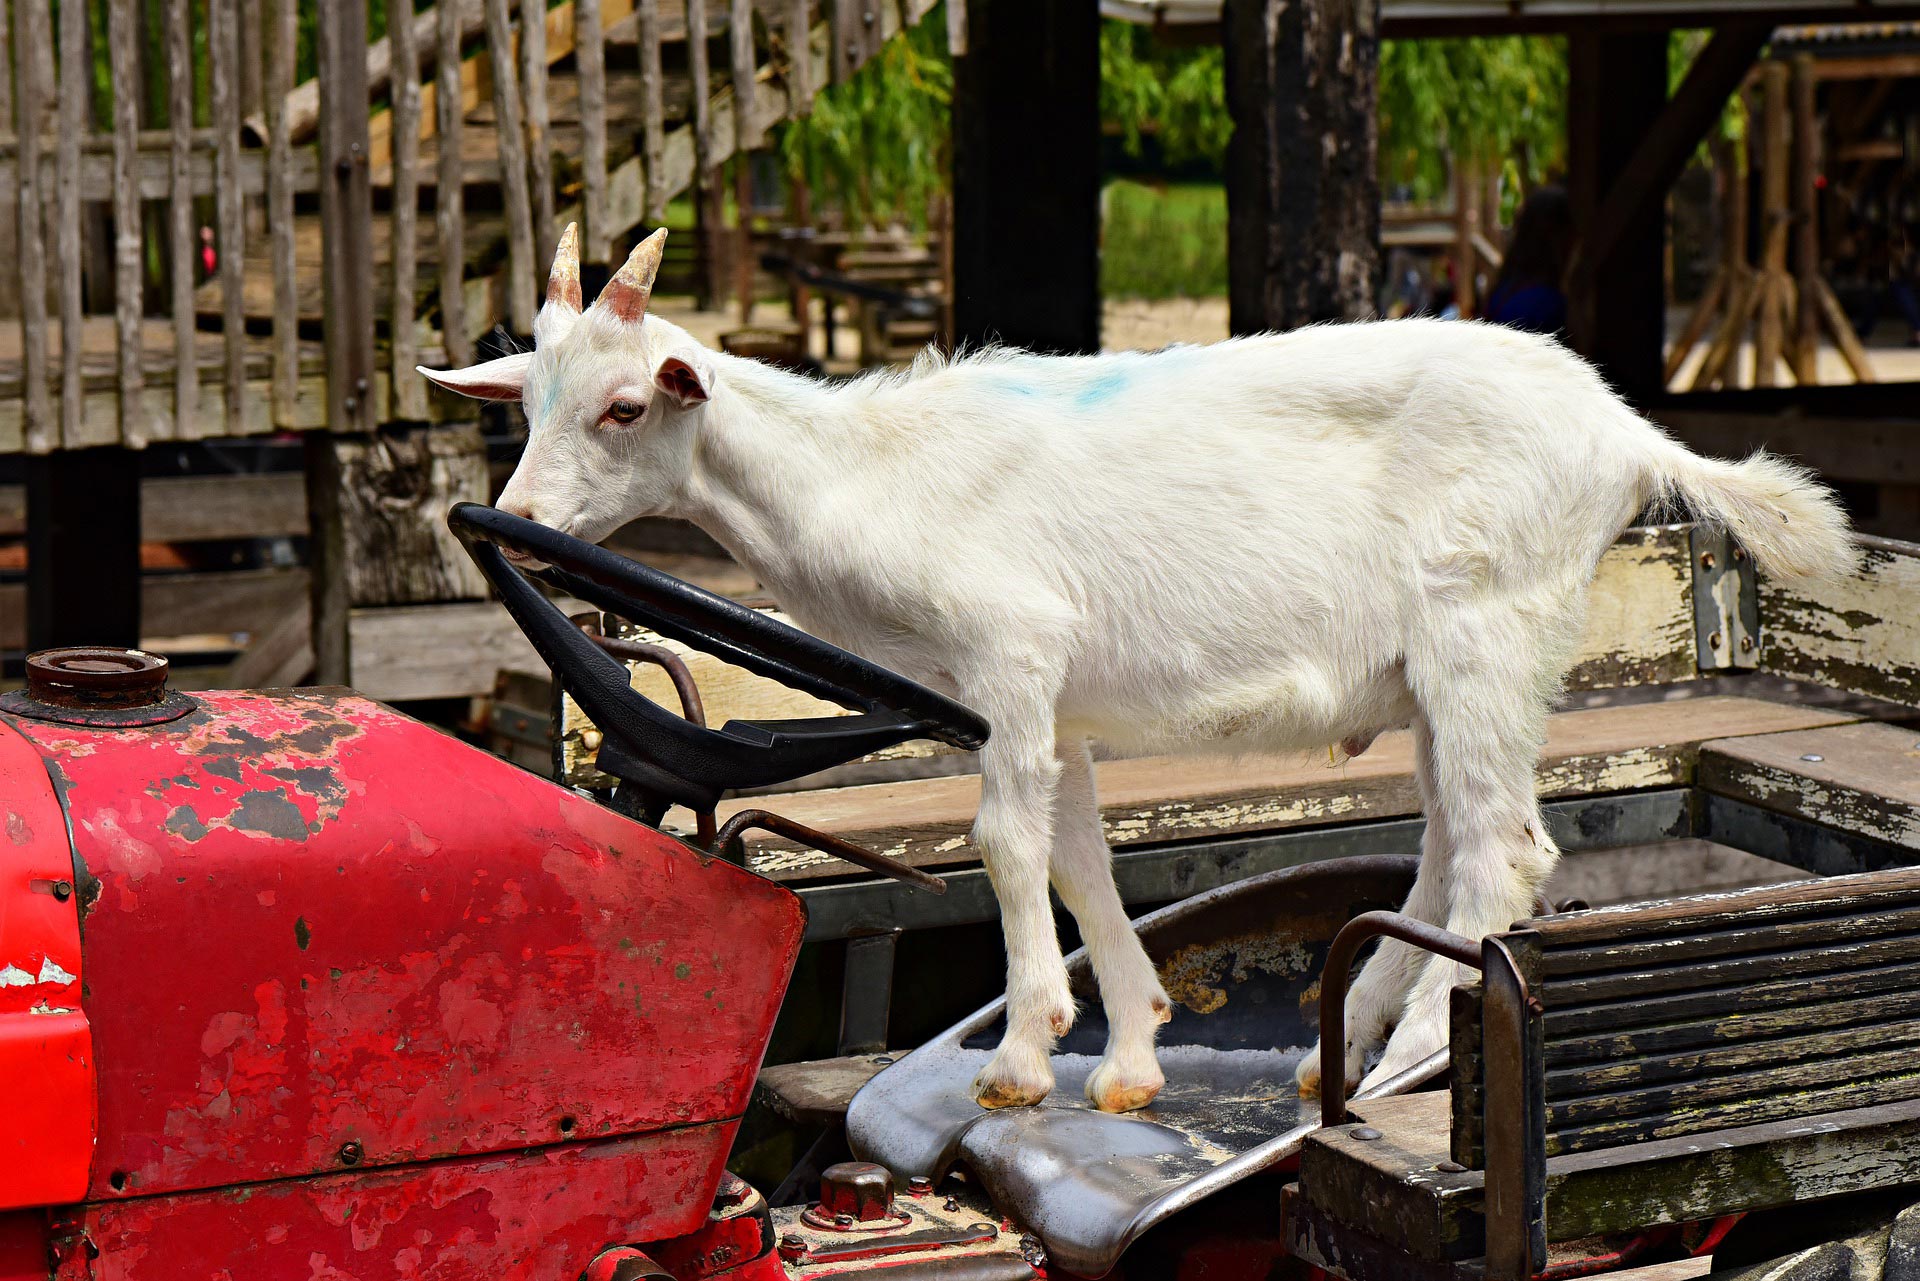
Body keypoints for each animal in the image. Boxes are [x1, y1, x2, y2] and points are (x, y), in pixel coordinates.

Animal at [428, 227, 1850, 1113]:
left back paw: (1412, 1061)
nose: (522, 524)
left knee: (1510, 852)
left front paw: (1018, 1053)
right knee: (1451, 836)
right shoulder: (1043, 705)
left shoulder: (1010, 656)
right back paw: (1355, 1034)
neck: (871, 477)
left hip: (1489, 627)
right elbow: (1075, 852)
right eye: (523, 405)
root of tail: (1625, 432)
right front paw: (1124, 1056)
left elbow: (1005, 848)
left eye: (624, 407)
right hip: (1452, 670)